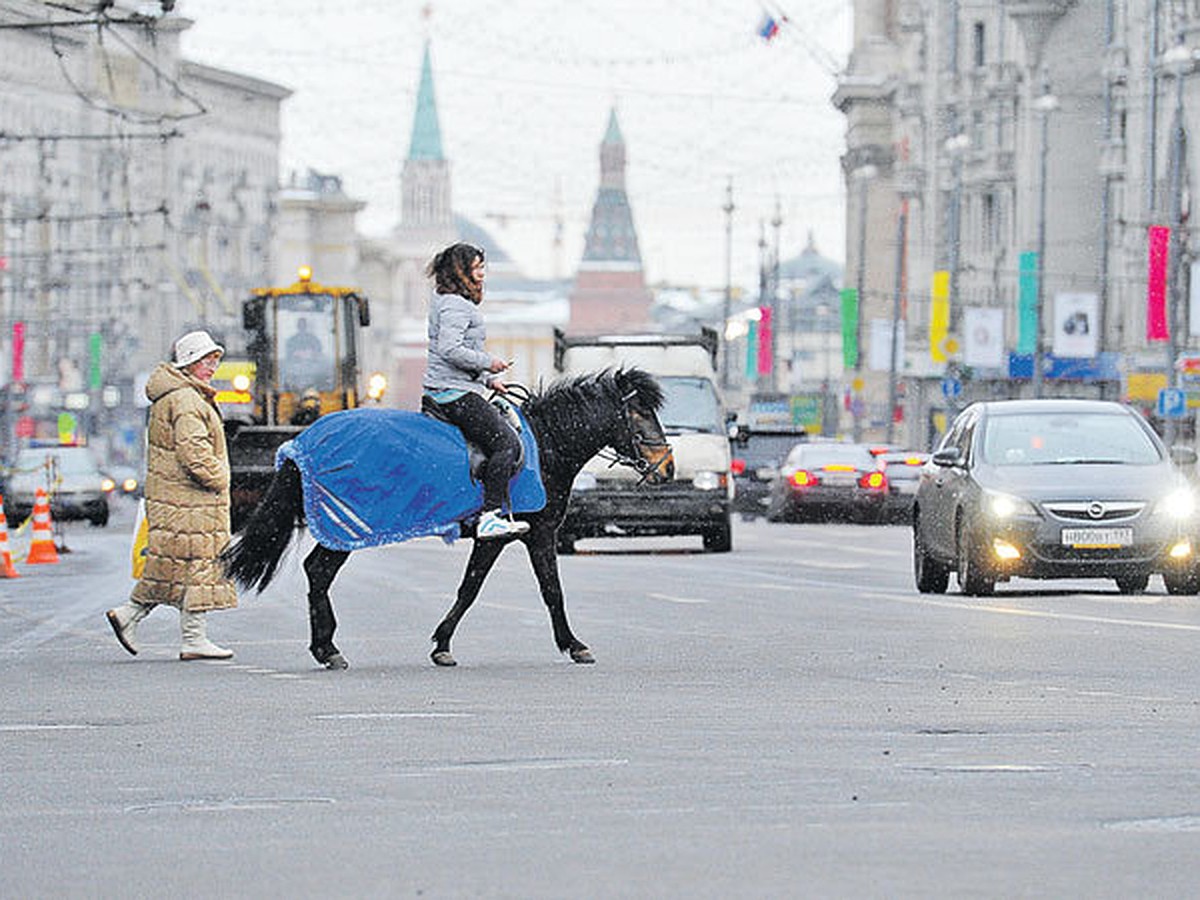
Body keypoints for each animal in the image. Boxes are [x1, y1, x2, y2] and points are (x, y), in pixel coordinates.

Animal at [223, 367, 676, 672]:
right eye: (640, 415)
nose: (667, 468)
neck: (544, 444)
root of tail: (303, 442)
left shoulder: (514, 536)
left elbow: (487, 588)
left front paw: (442, 643)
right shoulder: (526, 533)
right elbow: (525, 590)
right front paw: (574, 644)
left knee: (316, 571)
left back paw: (324, 646)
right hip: (346, 526)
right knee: (318, 570)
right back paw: (328, 648)